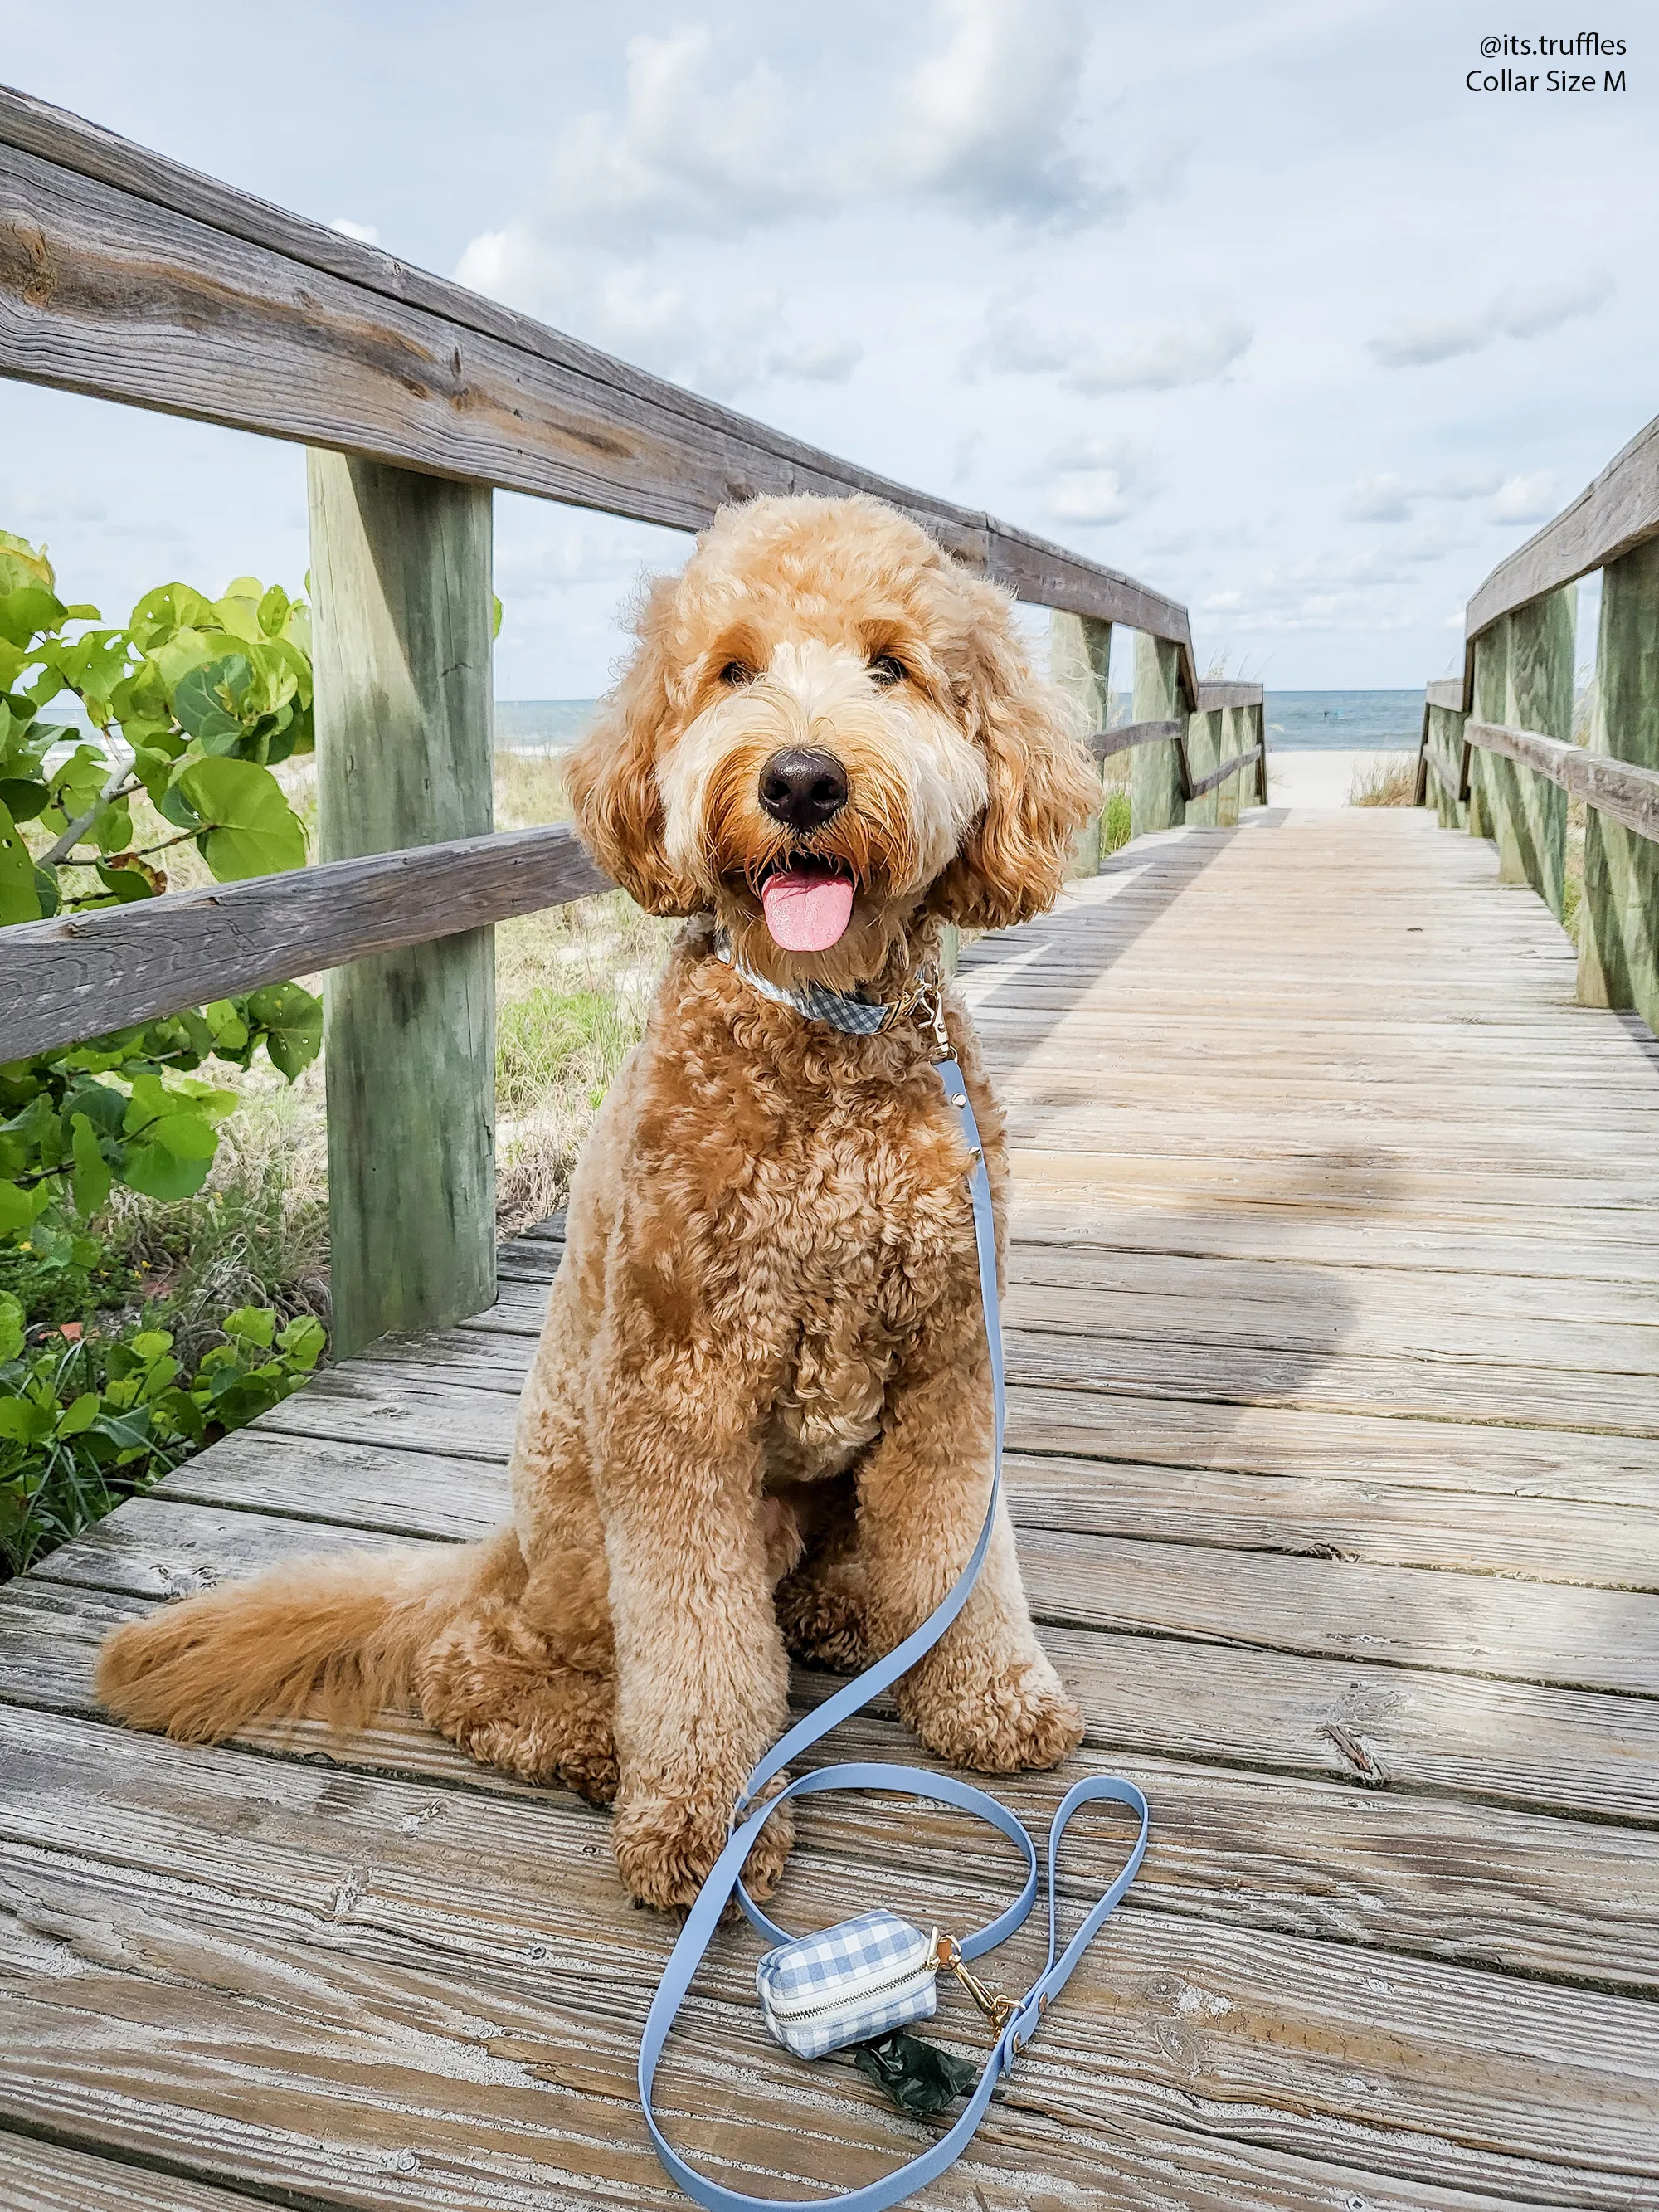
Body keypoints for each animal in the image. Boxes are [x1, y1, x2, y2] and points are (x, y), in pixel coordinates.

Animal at [94, 493, 1106, 1911]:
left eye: (891, 666)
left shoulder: (954, 1364)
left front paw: (991, 1698)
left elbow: (967, 1552)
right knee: (478, 1662)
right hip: (581, 1525)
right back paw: (598, 1742)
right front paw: (704, 1820)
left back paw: (845, 1612)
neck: (823, 1039)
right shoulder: (677, 1404)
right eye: (731, 670)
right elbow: (695, 1649)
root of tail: (507, 1549)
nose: (800, 780)